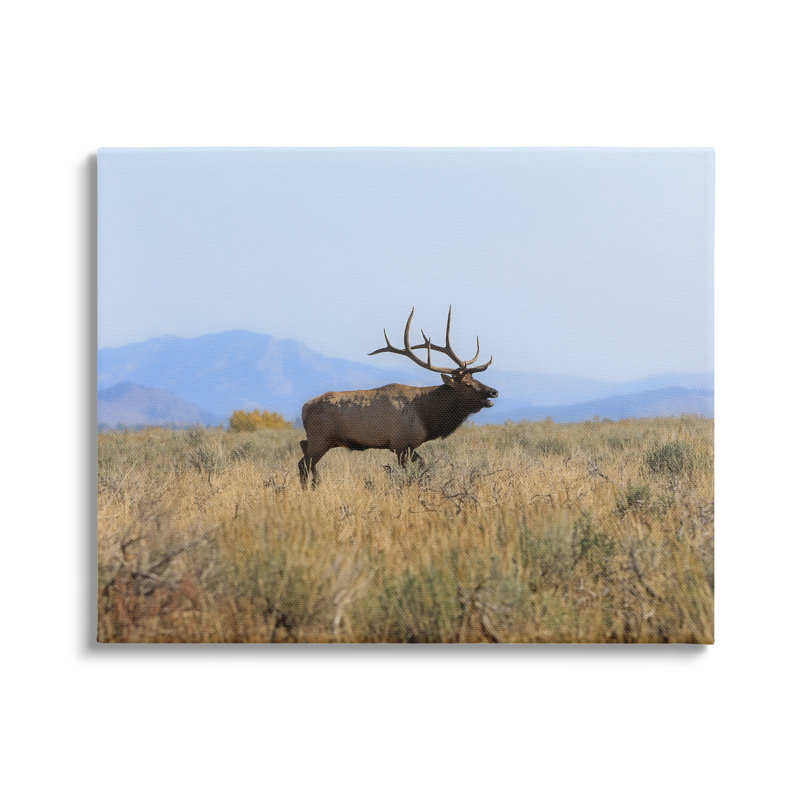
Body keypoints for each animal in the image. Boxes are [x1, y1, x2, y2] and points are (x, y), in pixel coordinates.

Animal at [298, 307, 497, 487]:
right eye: (468, 385)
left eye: (476, 379)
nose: (493, 391)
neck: (427, 416)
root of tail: (304, 407)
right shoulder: (401, 443)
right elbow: (414, 470)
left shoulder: (407, 445)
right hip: (320, 438)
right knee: (303, 464)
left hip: (324, 440)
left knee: (303, 450)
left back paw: (315, 484)